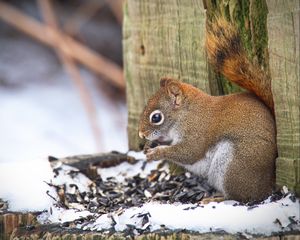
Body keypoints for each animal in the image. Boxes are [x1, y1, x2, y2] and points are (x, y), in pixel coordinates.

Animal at [138, 18, 276, 202]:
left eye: (156, 117)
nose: (141, 134)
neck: (186, 113)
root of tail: (269, 183)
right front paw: (150, 145)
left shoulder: (197, 131)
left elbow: (189, 152)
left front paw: (157, 153)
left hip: (234, 166)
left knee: (243, 196)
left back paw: (217, 198)